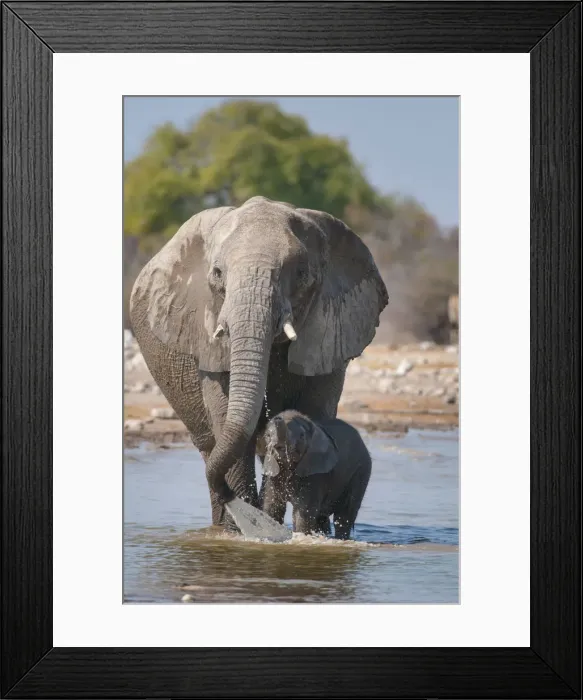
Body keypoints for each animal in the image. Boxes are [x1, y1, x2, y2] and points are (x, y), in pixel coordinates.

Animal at [260, 410, 372, 539]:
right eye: (267, 435)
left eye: (302, 436)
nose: (277, 418)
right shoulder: (271, 471)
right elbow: (272, 508)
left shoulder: (316, 473)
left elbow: (303, 512)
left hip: (361, 471)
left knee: (344, 515)